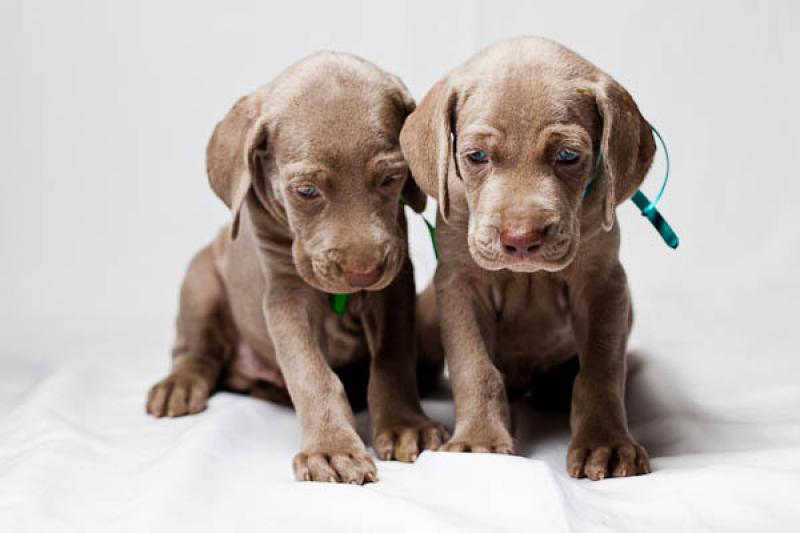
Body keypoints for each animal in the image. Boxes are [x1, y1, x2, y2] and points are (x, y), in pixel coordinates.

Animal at [146, 53, 446, 482]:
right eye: (306, 191)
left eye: (391, 178)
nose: (363, 274)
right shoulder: (287, 294)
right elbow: (310, 371)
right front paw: (332, 448)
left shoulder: (395, 285)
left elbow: (393, 359)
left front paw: (406, 425)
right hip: (200, 279)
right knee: (195, 351)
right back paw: (179, 384)